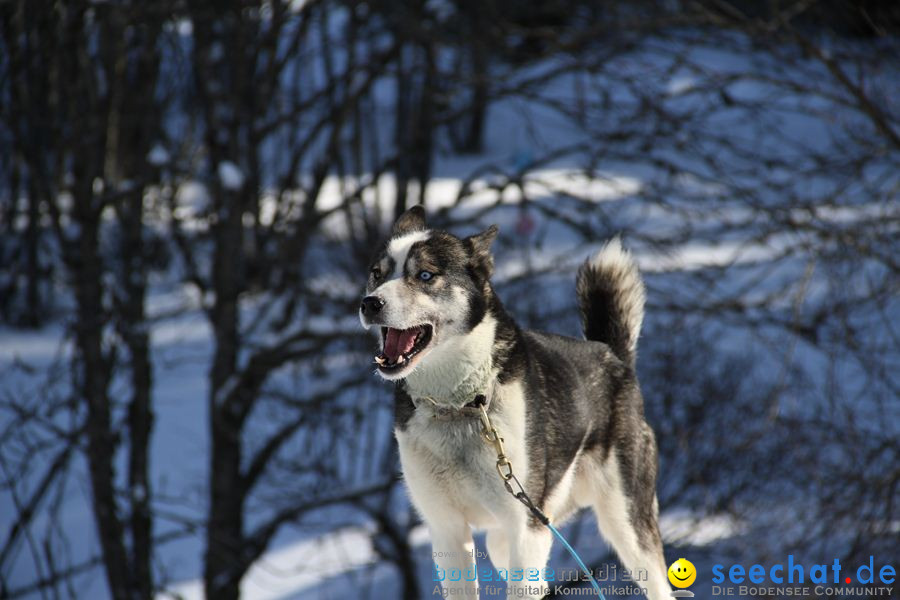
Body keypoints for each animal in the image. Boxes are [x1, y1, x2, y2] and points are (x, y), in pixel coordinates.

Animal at [358, 207, 668, 600]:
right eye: (377, 274)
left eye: (425, 275)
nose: (370, 303)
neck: (459, 403)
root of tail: (612, 355)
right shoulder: (447, 529)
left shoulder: (526, 528)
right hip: (514, 533)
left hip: (622, 521)